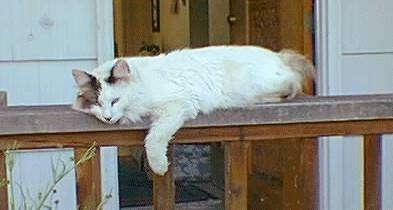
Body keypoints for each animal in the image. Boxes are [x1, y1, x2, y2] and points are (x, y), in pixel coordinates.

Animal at [72, 46, 314, 176]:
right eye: (97, 103)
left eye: (115, 101)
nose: (108, 117)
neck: (143, 83)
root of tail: (278, 55)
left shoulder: (177, 105)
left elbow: (153, 139)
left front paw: (159, 167)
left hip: (258, 85)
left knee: (293, 82)